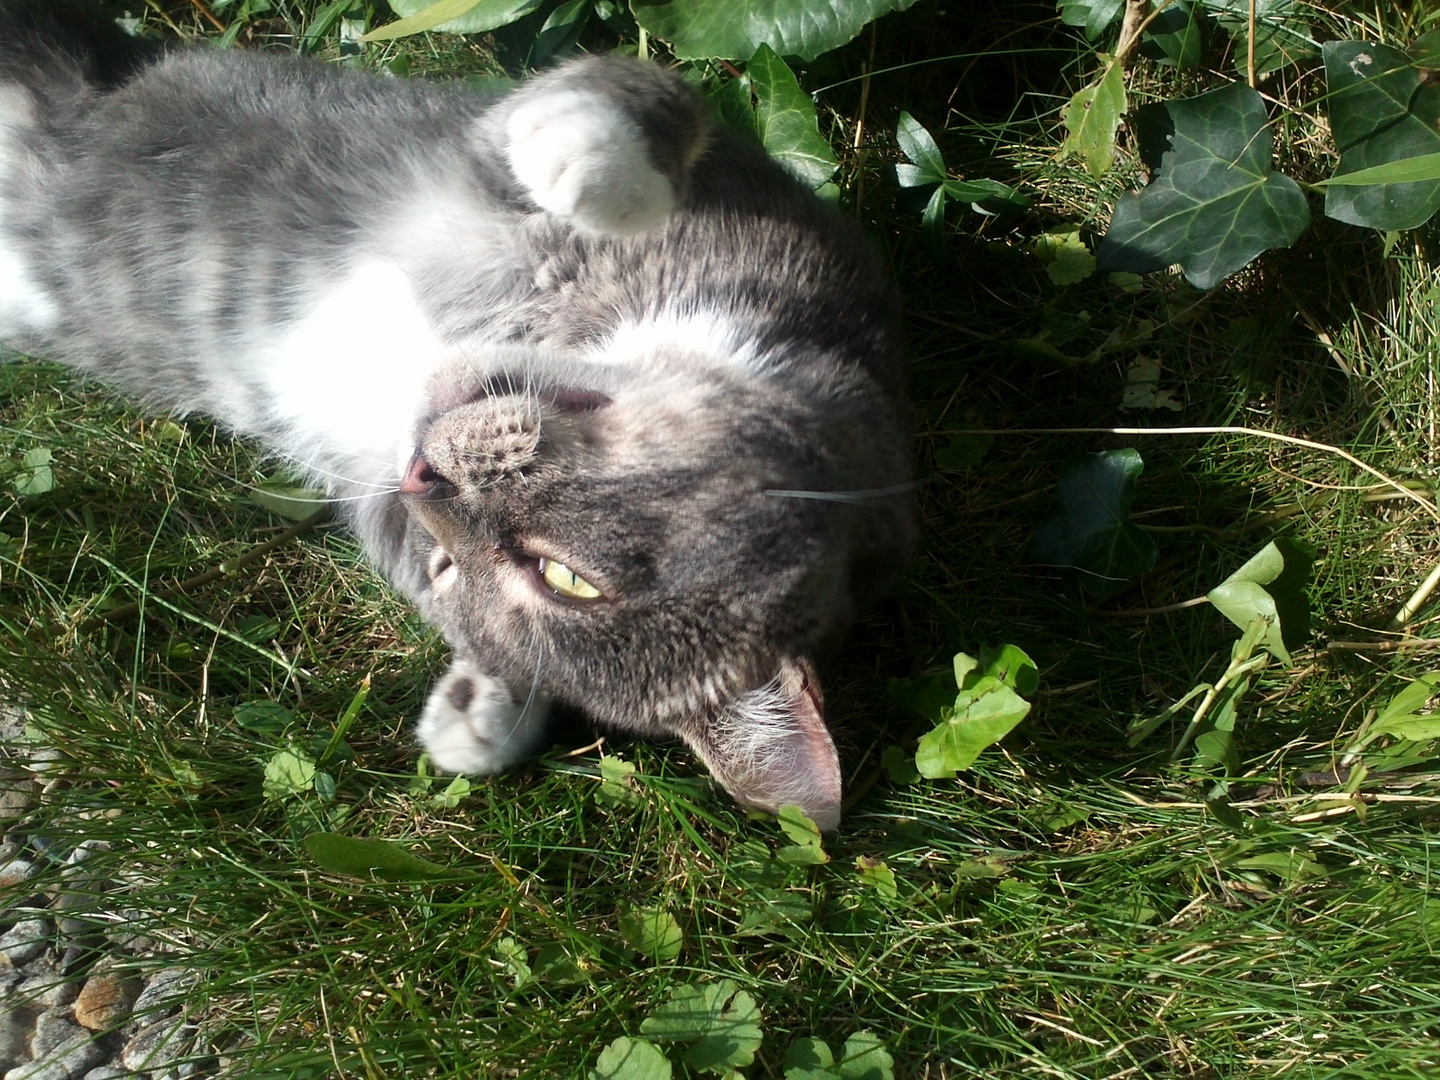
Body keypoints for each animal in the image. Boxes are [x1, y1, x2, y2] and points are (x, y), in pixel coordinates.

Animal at [0, 0, 910, 835]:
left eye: (453, 572)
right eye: (571, 577)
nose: (422, 473)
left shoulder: (369, 487)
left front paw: (484, 712)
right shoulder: (727, 187)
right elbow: (649, 89)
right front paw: (589, 164)